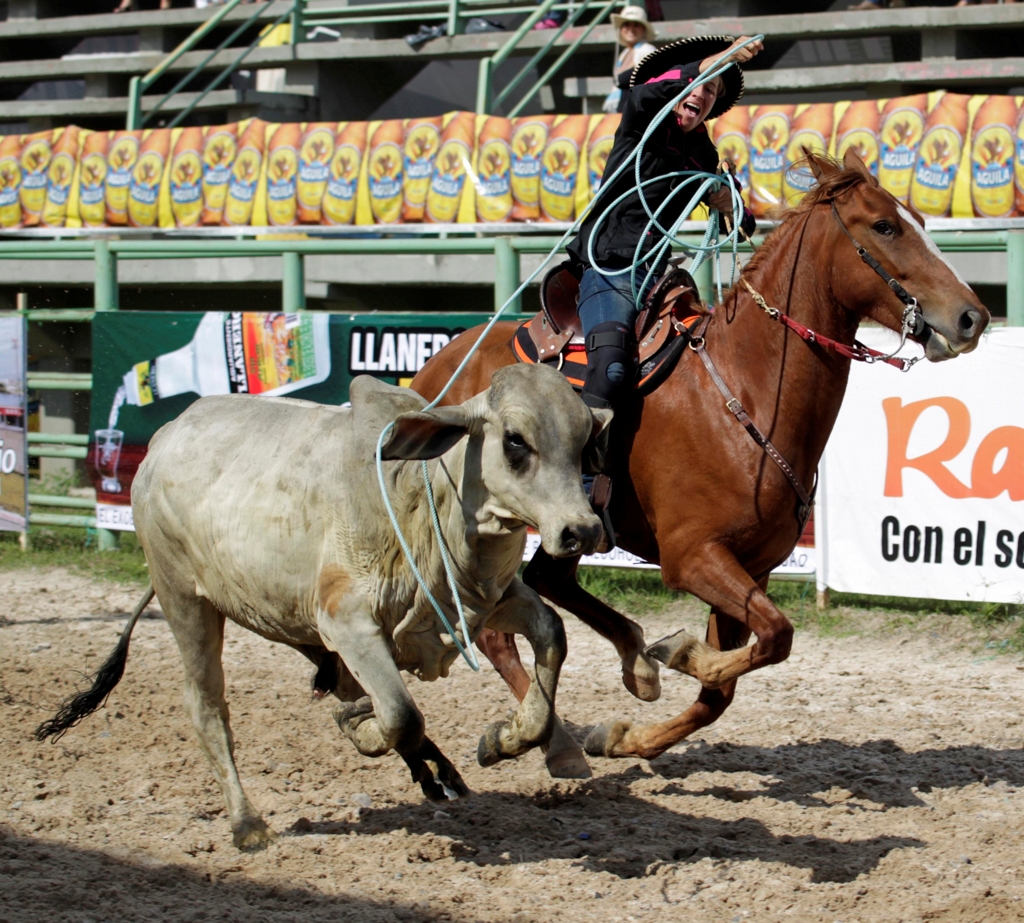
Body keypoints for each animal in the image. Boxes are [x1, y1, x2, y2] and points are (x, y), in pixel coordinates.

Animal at [41, 362, 606, 848]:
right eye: (515, 440)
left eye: (584, 444)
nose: (581, 529)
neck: (419, 500)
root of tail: (164, 438)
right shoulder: (347, 623)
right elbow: (400, 715)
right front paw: (365, 731)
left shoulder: (484, 602)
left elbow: (552, 636)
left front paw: (504, 738)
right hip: (185, 599)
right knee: (207, 708)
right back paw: (248, 823)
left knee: (341, 687)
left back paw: (435, 770)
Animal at [411, 149, 987, 770]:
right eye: (884, 226)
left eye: (920, 222)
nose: (973, 317)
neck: (745, 392)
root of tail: (433, 371)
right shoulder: (693, 558)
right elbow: (776, 636)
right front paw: (681, 652)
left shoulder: (749, 568)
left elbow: (725, 689)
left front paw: (627, 733)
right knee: (494, 626)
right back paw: (546, 735)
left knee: (543, 582)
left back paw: (621, 674)